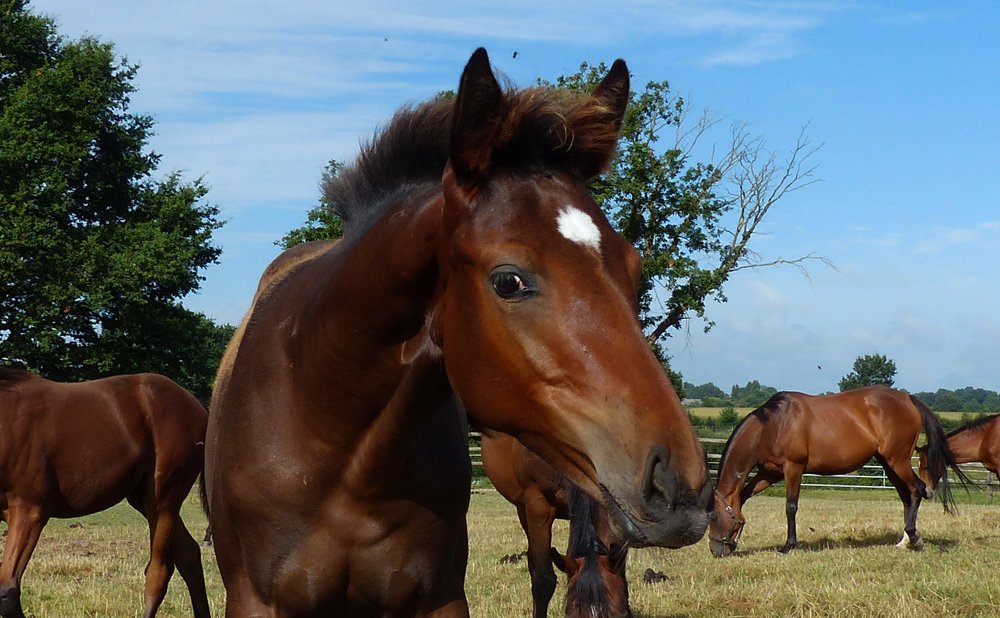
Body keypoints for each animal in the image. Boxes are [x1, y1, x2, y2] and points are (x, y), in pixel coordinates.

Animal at [0, 367, 210, 618]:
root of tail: (197, 406)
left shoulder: (29, 510)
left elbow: (8, 590)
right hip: (143, 499)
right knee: (190, 555)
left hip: (164, 499)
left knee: (159, 572)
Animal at [709, 386, 964, 558]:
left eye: (713, 517)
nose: (716, 550)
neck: (773, 425)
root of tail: (908, 399)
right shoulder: (770, 473)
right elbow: (744, 496)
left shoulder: (794, 468)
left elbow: (790, 507)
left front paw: (788, 546)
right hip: (888, 462)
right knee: (906, 496)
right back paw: (904, 541)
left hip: (897, 460)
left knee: (917, 489)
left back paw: (915, 538)